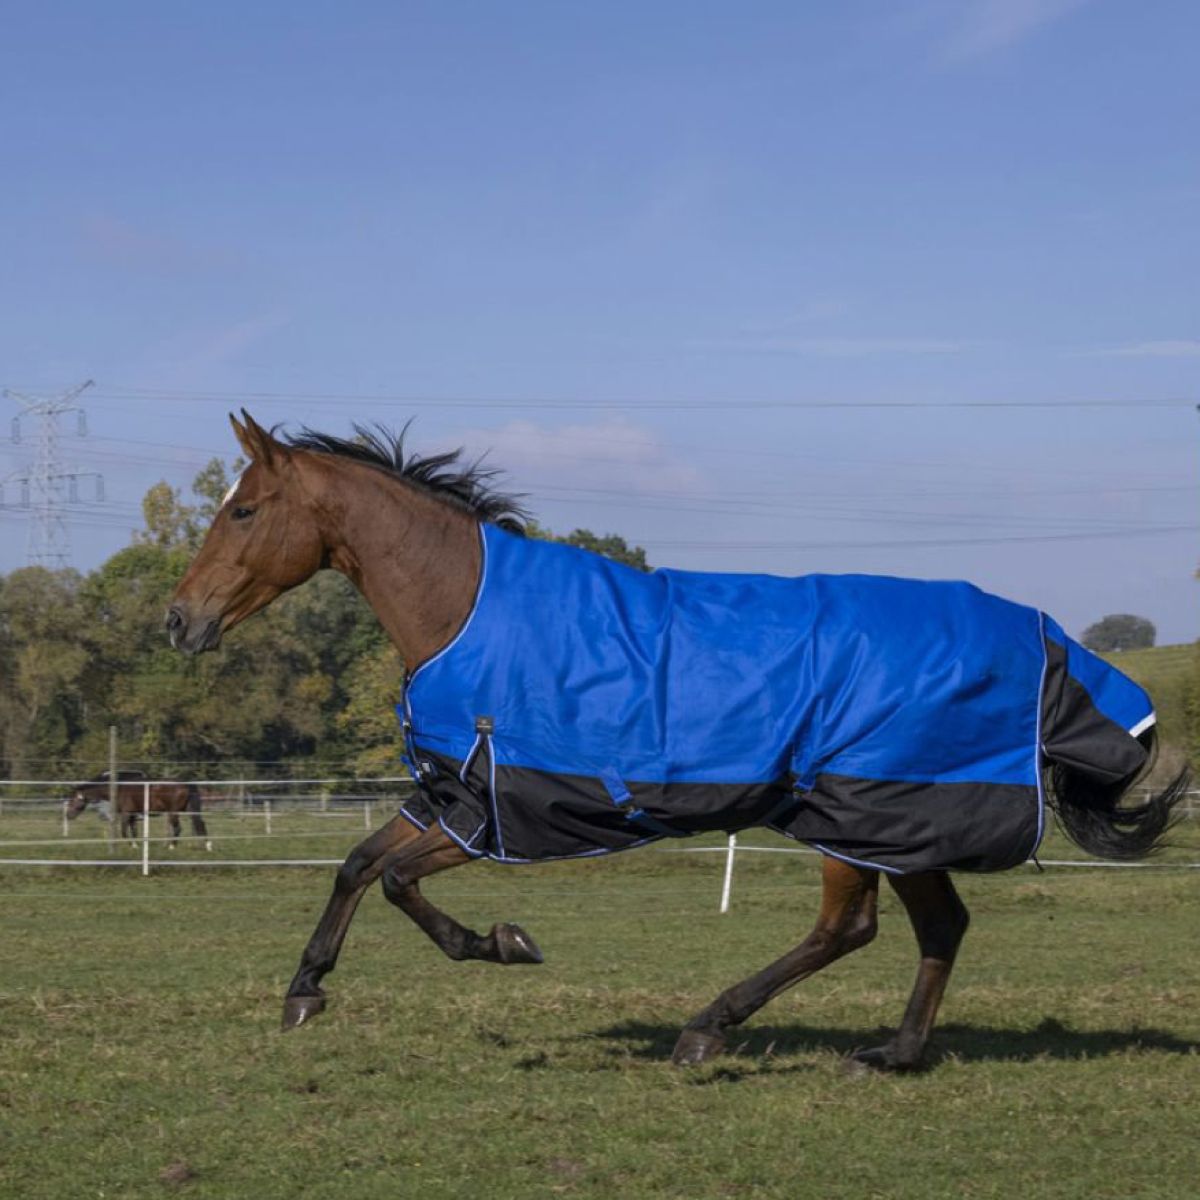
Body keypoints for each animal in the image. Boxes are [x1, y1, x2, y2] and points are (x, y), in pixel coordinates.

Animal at [68, 768, 210, 844]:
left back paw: (171, 847)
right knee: (200, 824)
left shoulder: (126, 814)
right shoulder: (132, 815)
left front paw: (131, 845)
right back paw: (207, 846)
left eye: (73, 799)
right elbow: (134, 832)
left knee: (178, 828)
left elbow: (124, 832)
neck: (118, 787)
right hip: (189, 809)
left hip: (173, 812)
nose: (68, 815)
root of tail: (187, 784)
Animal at [164, 412, 1185, 1070]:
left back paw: (708, 1030)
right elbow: (356, 865)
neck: (465, 606)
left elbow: (399, 883)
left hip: (854, 814)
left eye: (243, 510)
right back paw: (890, 1053)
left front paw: (504, 942)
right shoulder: (451, 796)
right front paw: (305, 991)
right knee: (940, 928)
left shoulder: (493, 811)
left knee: (847, 928)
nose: (180, 621)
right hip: (898, 825)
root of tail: (1044, 639)